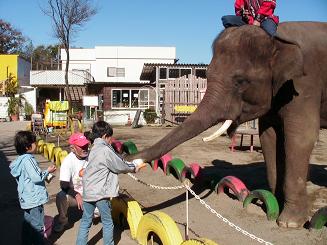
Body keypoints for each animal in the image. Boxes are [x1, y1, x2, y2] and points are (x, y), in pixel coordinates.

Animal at [130, 22, 327, 229]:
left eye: (240, 81)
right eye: (207, 75)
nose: (130, 160)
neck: (277, 39)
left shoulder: (304, 85)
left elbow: (300, 138)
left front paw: (289, 223)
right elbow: (269, 137)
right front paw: (271, 204)